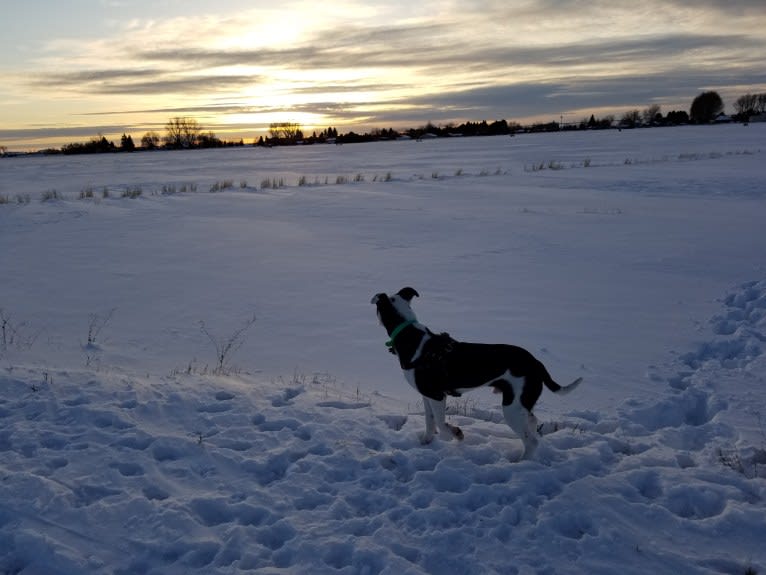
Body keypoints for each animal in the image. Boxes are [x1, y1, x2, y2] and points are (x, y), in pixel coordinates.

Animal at [372, 288, 584, 460]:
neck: (409, 335)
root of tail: (535, 363)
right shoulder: (427, 395)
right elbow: (429, 422)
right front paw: (425, 442)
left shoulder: (437, 396)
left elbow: (441, 423)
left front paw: (456, 434)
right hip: (521, 403)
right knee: (532, 423)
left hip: (512, 407)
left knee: (531, 441)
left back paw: (520, 462)